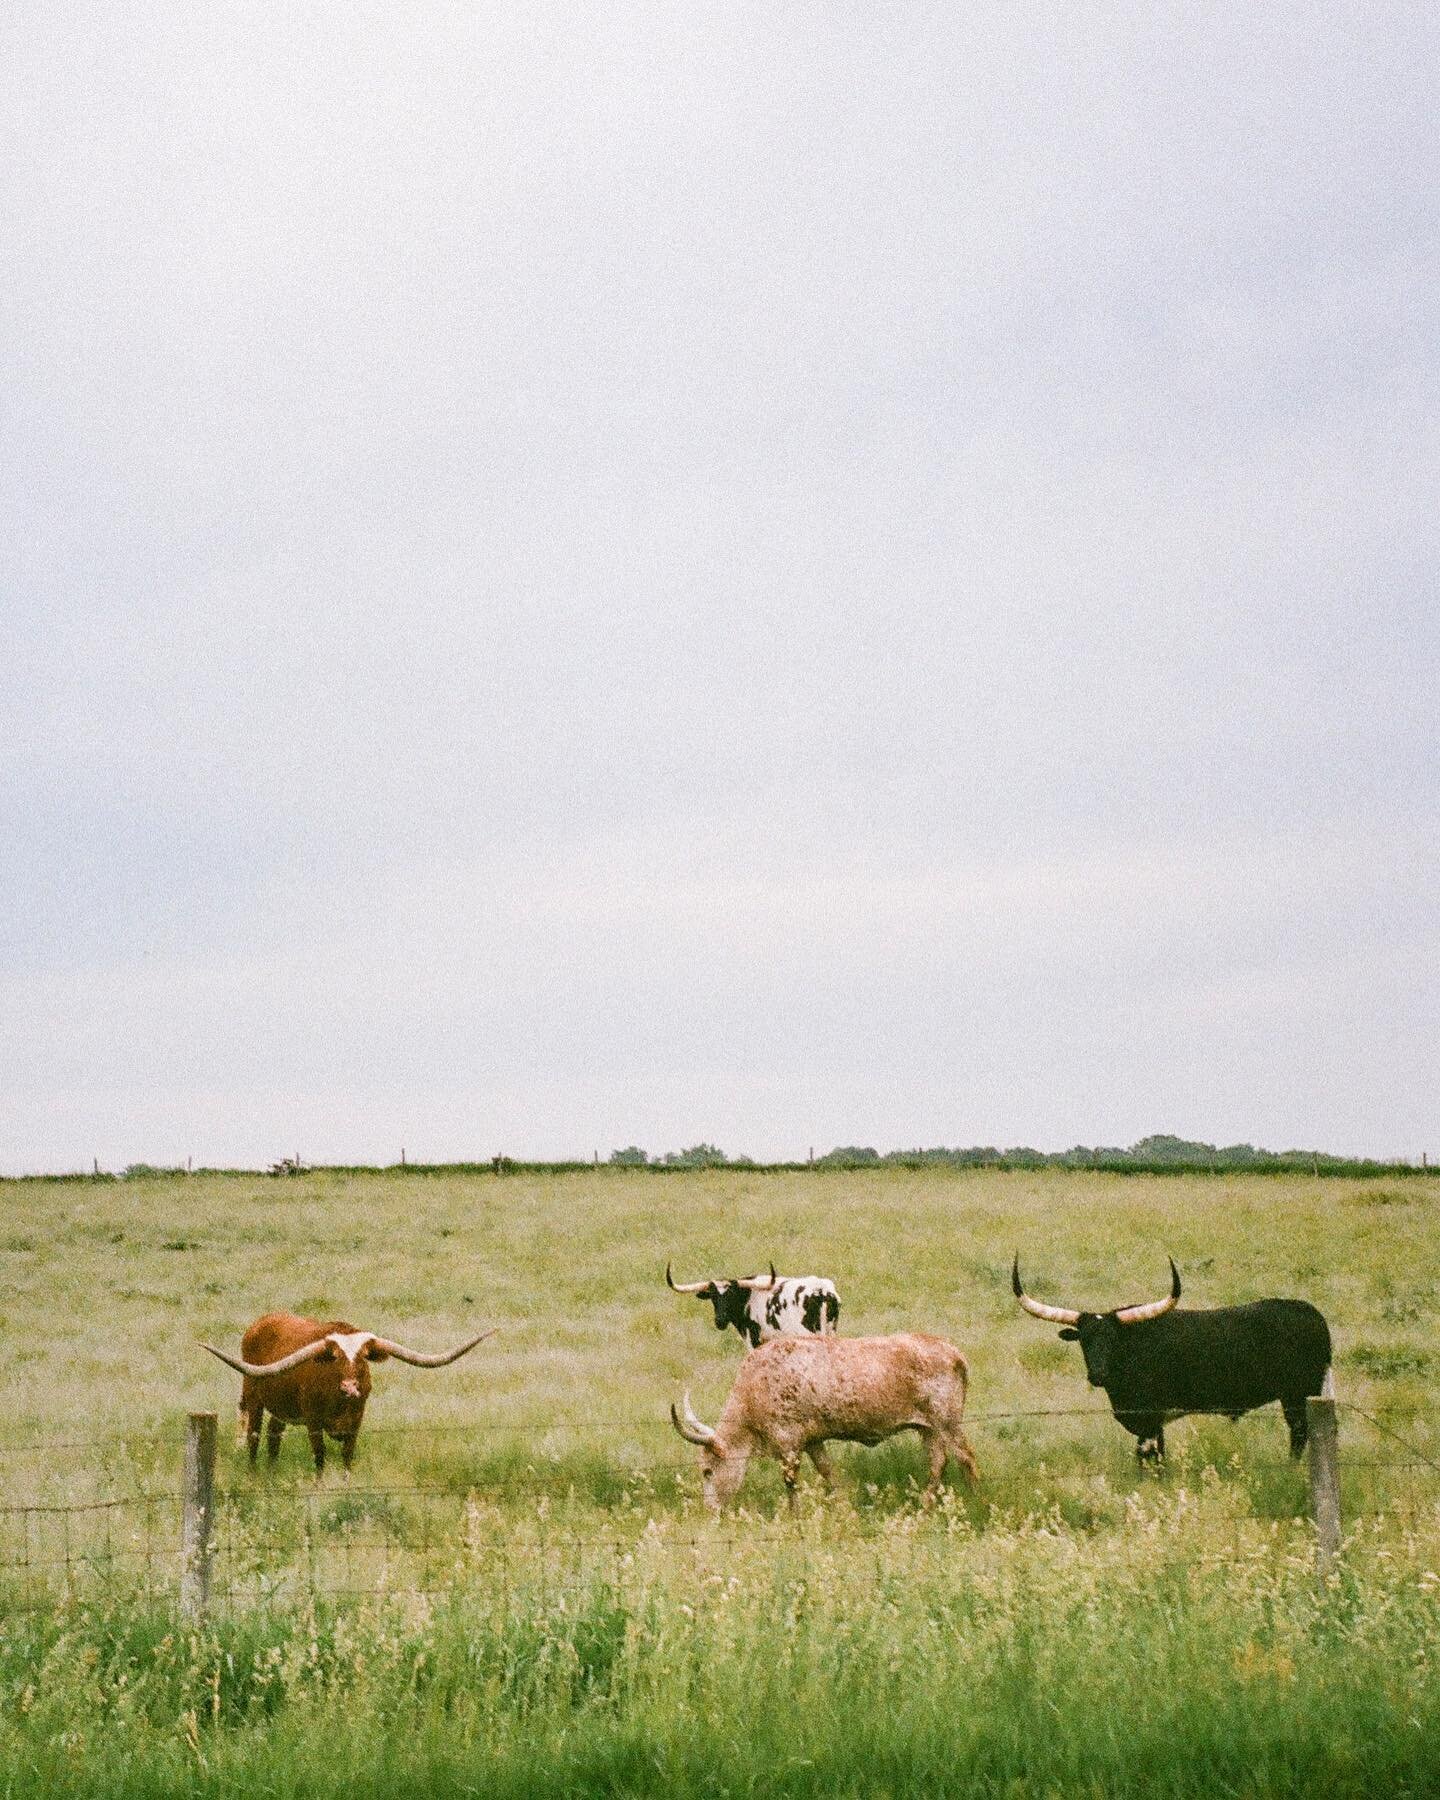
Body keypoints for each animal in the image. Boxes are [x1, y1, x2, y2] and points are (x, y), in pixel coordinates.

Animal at [199, 1317, 496, 1468]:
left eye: (364, 1356)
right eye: (334, 1357)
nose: (350, 1387)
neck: (339, 1403)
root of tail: (261, 1322)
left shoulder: (356, 1422)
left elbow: (347, 1456)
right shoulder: (313, 1421)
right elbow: (319, 1456)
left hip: (281, 1406)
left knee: (274, 1435)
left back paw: (272, 1472)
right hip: (253, 1395)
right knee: (254, 1435)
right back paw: (254, 1474)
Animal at [1008, 1252, 1332, 1461]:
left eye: (1113, 1340)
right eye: (1084, 1341)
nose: (1098, 1374)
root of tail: (1312, 1314)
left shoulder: (1152, 1418)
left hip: (1298, 1394)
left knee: (1300, 1434)